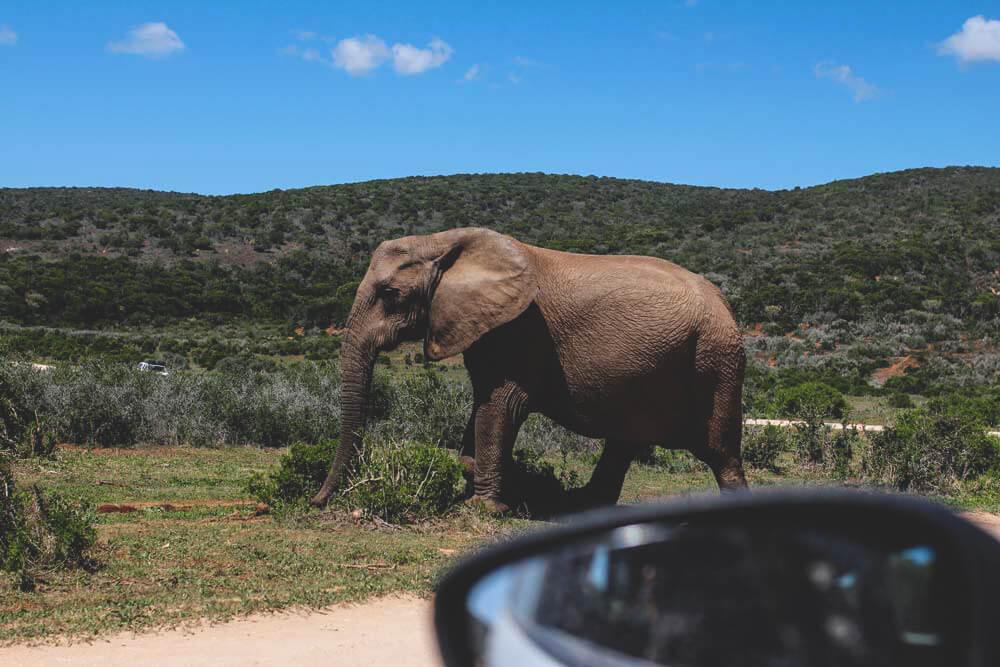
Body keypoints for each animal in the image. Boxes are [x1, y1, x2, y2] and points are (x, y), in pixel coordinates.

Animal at [310, 227, 747, 512]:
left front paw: (487, 508)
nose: (317, 502)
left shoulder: (518, 329)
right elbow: (483, 403)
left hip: (715, 361)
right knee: (624, 442)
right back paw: (580, 504)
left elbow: (501, 405)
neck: (443, 242)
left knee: (721, 454)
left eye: (389, 293)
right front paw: (478, 473)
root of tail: (724, 302)